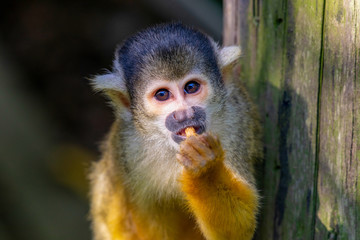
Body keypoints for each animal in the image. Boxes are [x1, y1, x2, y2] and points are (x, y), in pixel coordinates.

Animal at [90, 23, 262, 240]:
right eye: (162, 94)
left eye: (191, 87)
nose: (184, 115)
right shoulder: (128, 147)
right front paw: (204, 170)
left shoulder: (235, 121)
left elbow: (239, 228)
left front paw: (205, 171)